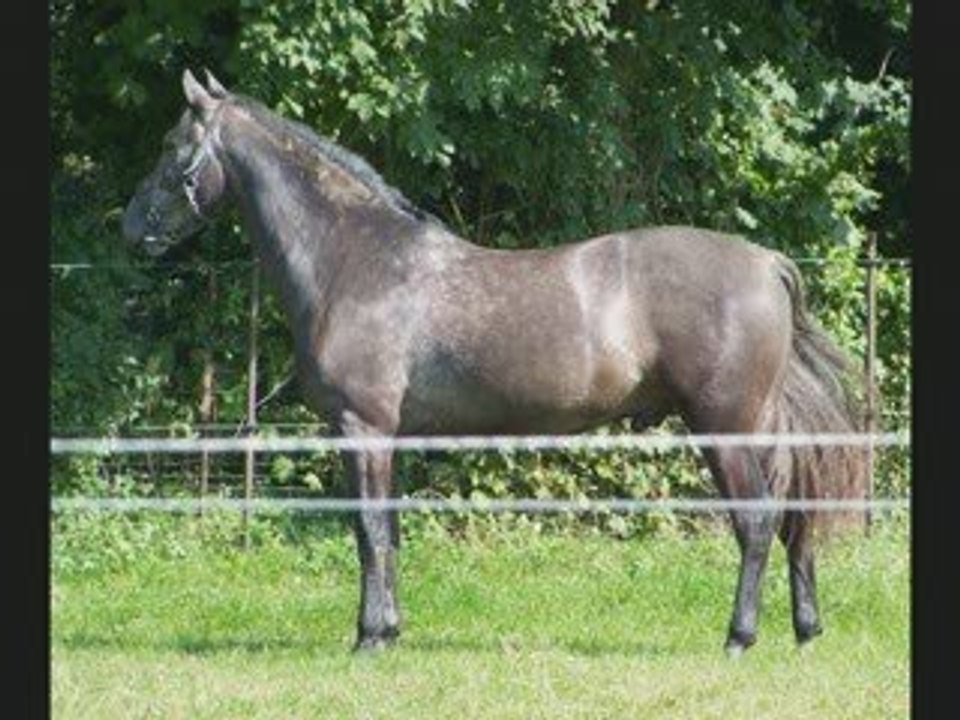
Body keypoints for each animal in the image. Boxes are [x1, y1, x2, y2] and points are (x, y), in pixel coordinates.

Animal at [123, 70, 866, 655]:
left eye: (171, 147)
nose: (133, 228)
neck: (356, 259)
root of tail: (765, 262)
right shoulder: (389, 437)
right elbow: (391, 532)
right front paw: (391, 630)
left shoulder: (361, 429)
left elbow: (367, 530)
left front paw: (367, 637)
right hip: (758, 425)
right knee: (793, 517)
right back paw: (805, 630)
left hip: (723, 427)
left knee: (757, 520)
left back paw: (739, 637)